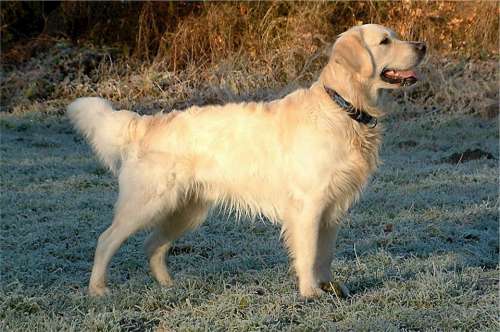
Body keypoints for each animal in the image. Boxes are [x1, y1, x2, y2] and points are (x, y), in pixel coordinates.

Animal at [67, 23, 426, 298]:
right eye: (385, 41)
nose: (422, 45)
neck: (343, 107)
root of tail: (144, 124)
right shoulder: (308, 205)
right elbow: (309, 253)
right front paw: (310, 293)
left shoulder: (333, 209)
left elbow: (325, 255)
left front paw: (330, 288)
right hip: (147, 202)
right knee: (107, 239)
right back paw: (98, 290)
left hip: (186, 210)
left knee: (153, 245)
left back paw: (169, 285)